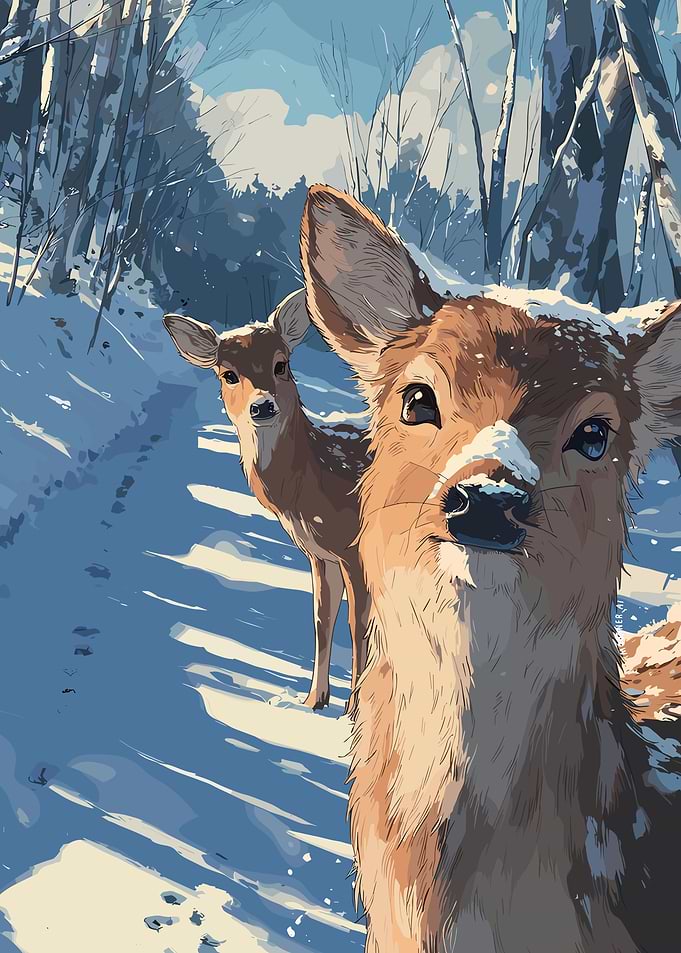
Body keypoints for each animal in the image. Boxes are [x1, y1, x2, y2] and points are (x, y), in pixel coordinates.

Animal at [163, 290, 368, 713]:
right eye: (228, 374)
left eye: (281, 364)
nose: (262, 406)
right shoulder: (321, 555)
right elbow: (322, 621)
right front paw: (314, 701)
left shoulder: (356, 547)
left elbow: (358, 628)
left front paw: (353, 713)